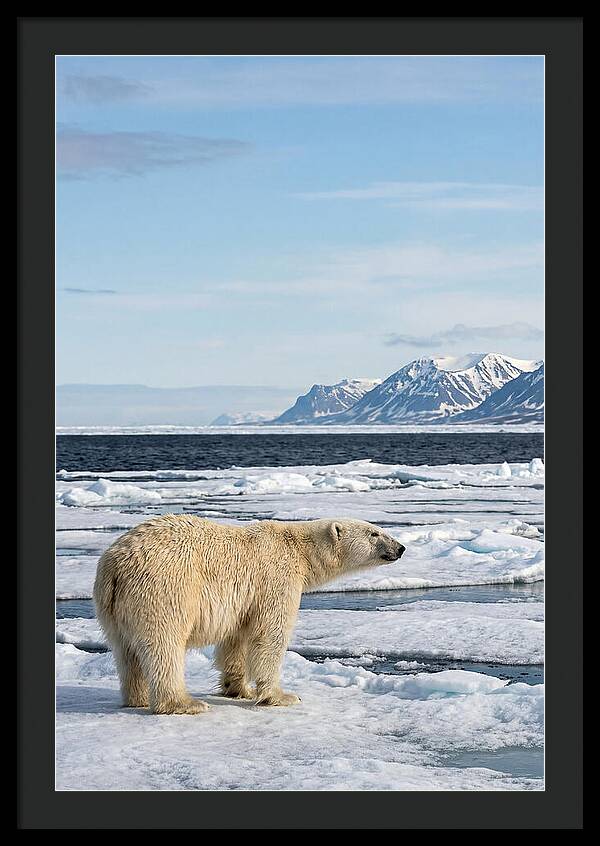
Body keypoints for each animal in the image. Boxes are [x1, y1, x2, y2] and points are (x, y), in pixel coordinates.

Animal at [93, 515, 405, 715]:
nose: (401, 548)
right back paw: (184, 703)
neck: (299, 550)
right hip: (164, 589)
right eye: (375, 533)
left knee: (125, 651)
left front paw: (238, 689)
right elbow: (270, 635)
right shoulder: (276, 578)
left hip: (112, 607)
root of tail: (115, 565)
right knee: (164, 645)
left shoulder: (245, 600)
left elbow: (236, 639)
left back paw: (137, 698)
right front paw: (282, 696)